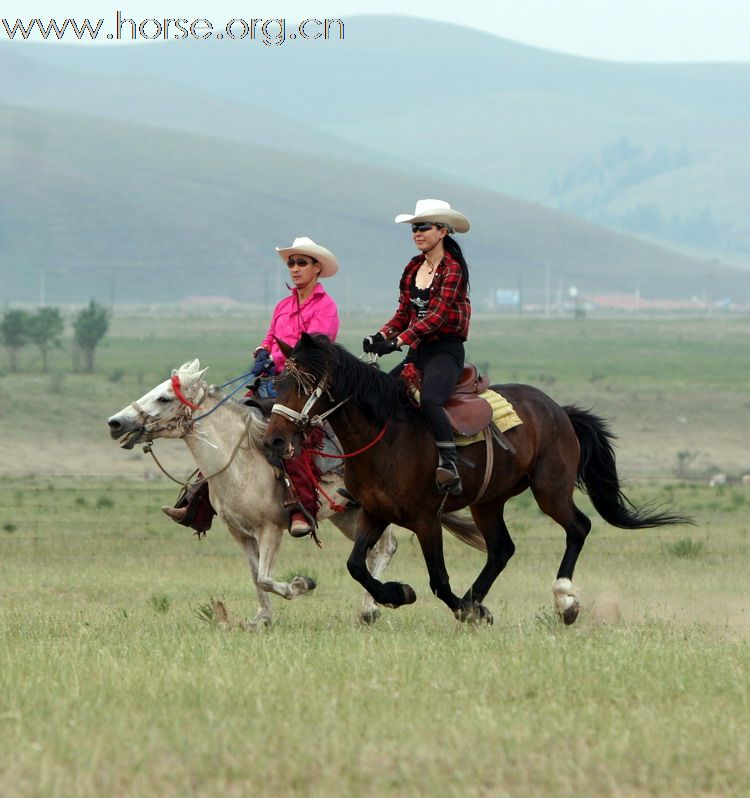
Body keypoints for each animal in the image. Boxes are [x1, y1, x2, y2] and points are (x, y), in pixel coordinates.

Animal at [108, 360, 400, 628]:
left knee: (387, 546)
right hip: (346, 514)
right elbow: (254, 575)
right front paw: (262, 618)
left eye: (164, 398)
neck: (240, 462)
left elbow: (265, 577)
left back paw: (372, 607)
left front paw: (301, 584)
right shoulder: (240, 533)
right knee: (371, 551)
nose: (115, 423)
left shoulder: (270, 529)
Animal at [264, 334, 692, 628]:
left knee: (579, 527)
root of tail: (558, 409)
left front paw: (447, 604)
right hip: (487, 502)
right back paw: (476, 602)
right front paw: (400, 594)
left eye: (303, 386)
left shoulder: (426, 519)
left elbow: (437, 580)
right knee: (502, 549)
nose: (275, 441)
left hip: (549, 490)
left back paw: (564, 601)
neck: (387, 433)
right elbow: (355, 565)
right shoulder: (374, 511)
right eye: (277, 384)